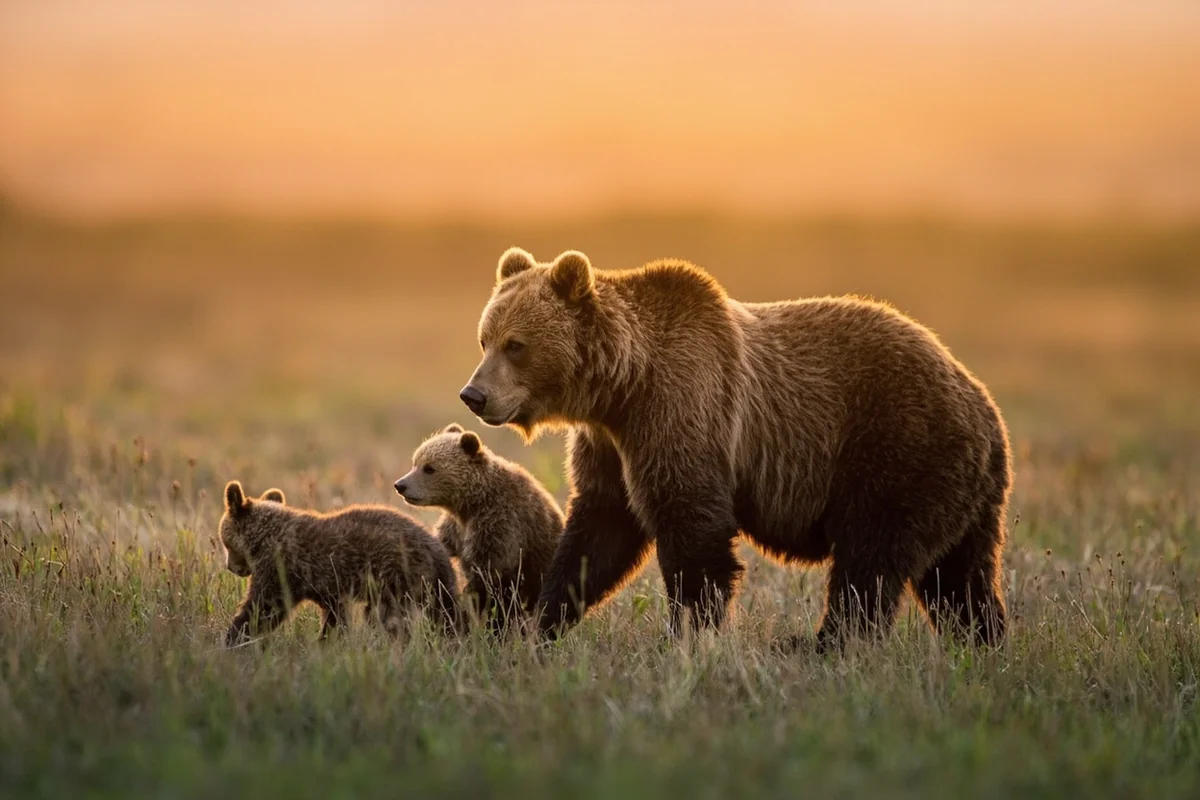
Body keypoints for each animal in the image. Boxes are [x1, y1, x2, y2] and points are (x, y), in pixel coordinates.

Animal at [219, 481, 460, 646]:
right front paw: (329, 640)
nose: (231, 567)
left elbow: (263, 607)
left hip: (397, 575)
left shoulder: (282, 566)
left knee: (388, 617)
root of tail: (437, 549)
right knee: (447, 612)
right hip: (432, 583)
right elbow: (335, 616)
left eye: (225, 542)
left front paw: (233, 637)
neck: (263, 538)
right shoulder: (328, 589)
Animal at [393, 423, 564, 633]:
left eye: (429, 468)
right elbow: (442, 547)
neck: (471, 503)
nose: (400, 485)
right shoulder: (456, 527)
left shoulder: (500, 523)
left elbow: (489, 573)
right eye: (415, 462)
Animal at [457, 247, 1012, 650]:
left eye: (516, 345)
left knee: (870, 563)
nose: (474, 395)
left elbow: (693, 532)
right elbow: (599, 534)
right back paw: (984, 643)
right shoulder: (611, 448)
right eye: (484, 338)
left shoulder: (683, 410)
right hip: (964, 495)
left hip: (898, 447)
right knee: (960, 579)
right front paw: (541, 623)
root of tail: (986, 410)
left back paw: (821, 645)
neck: (622, 390)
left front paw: (687, 633)